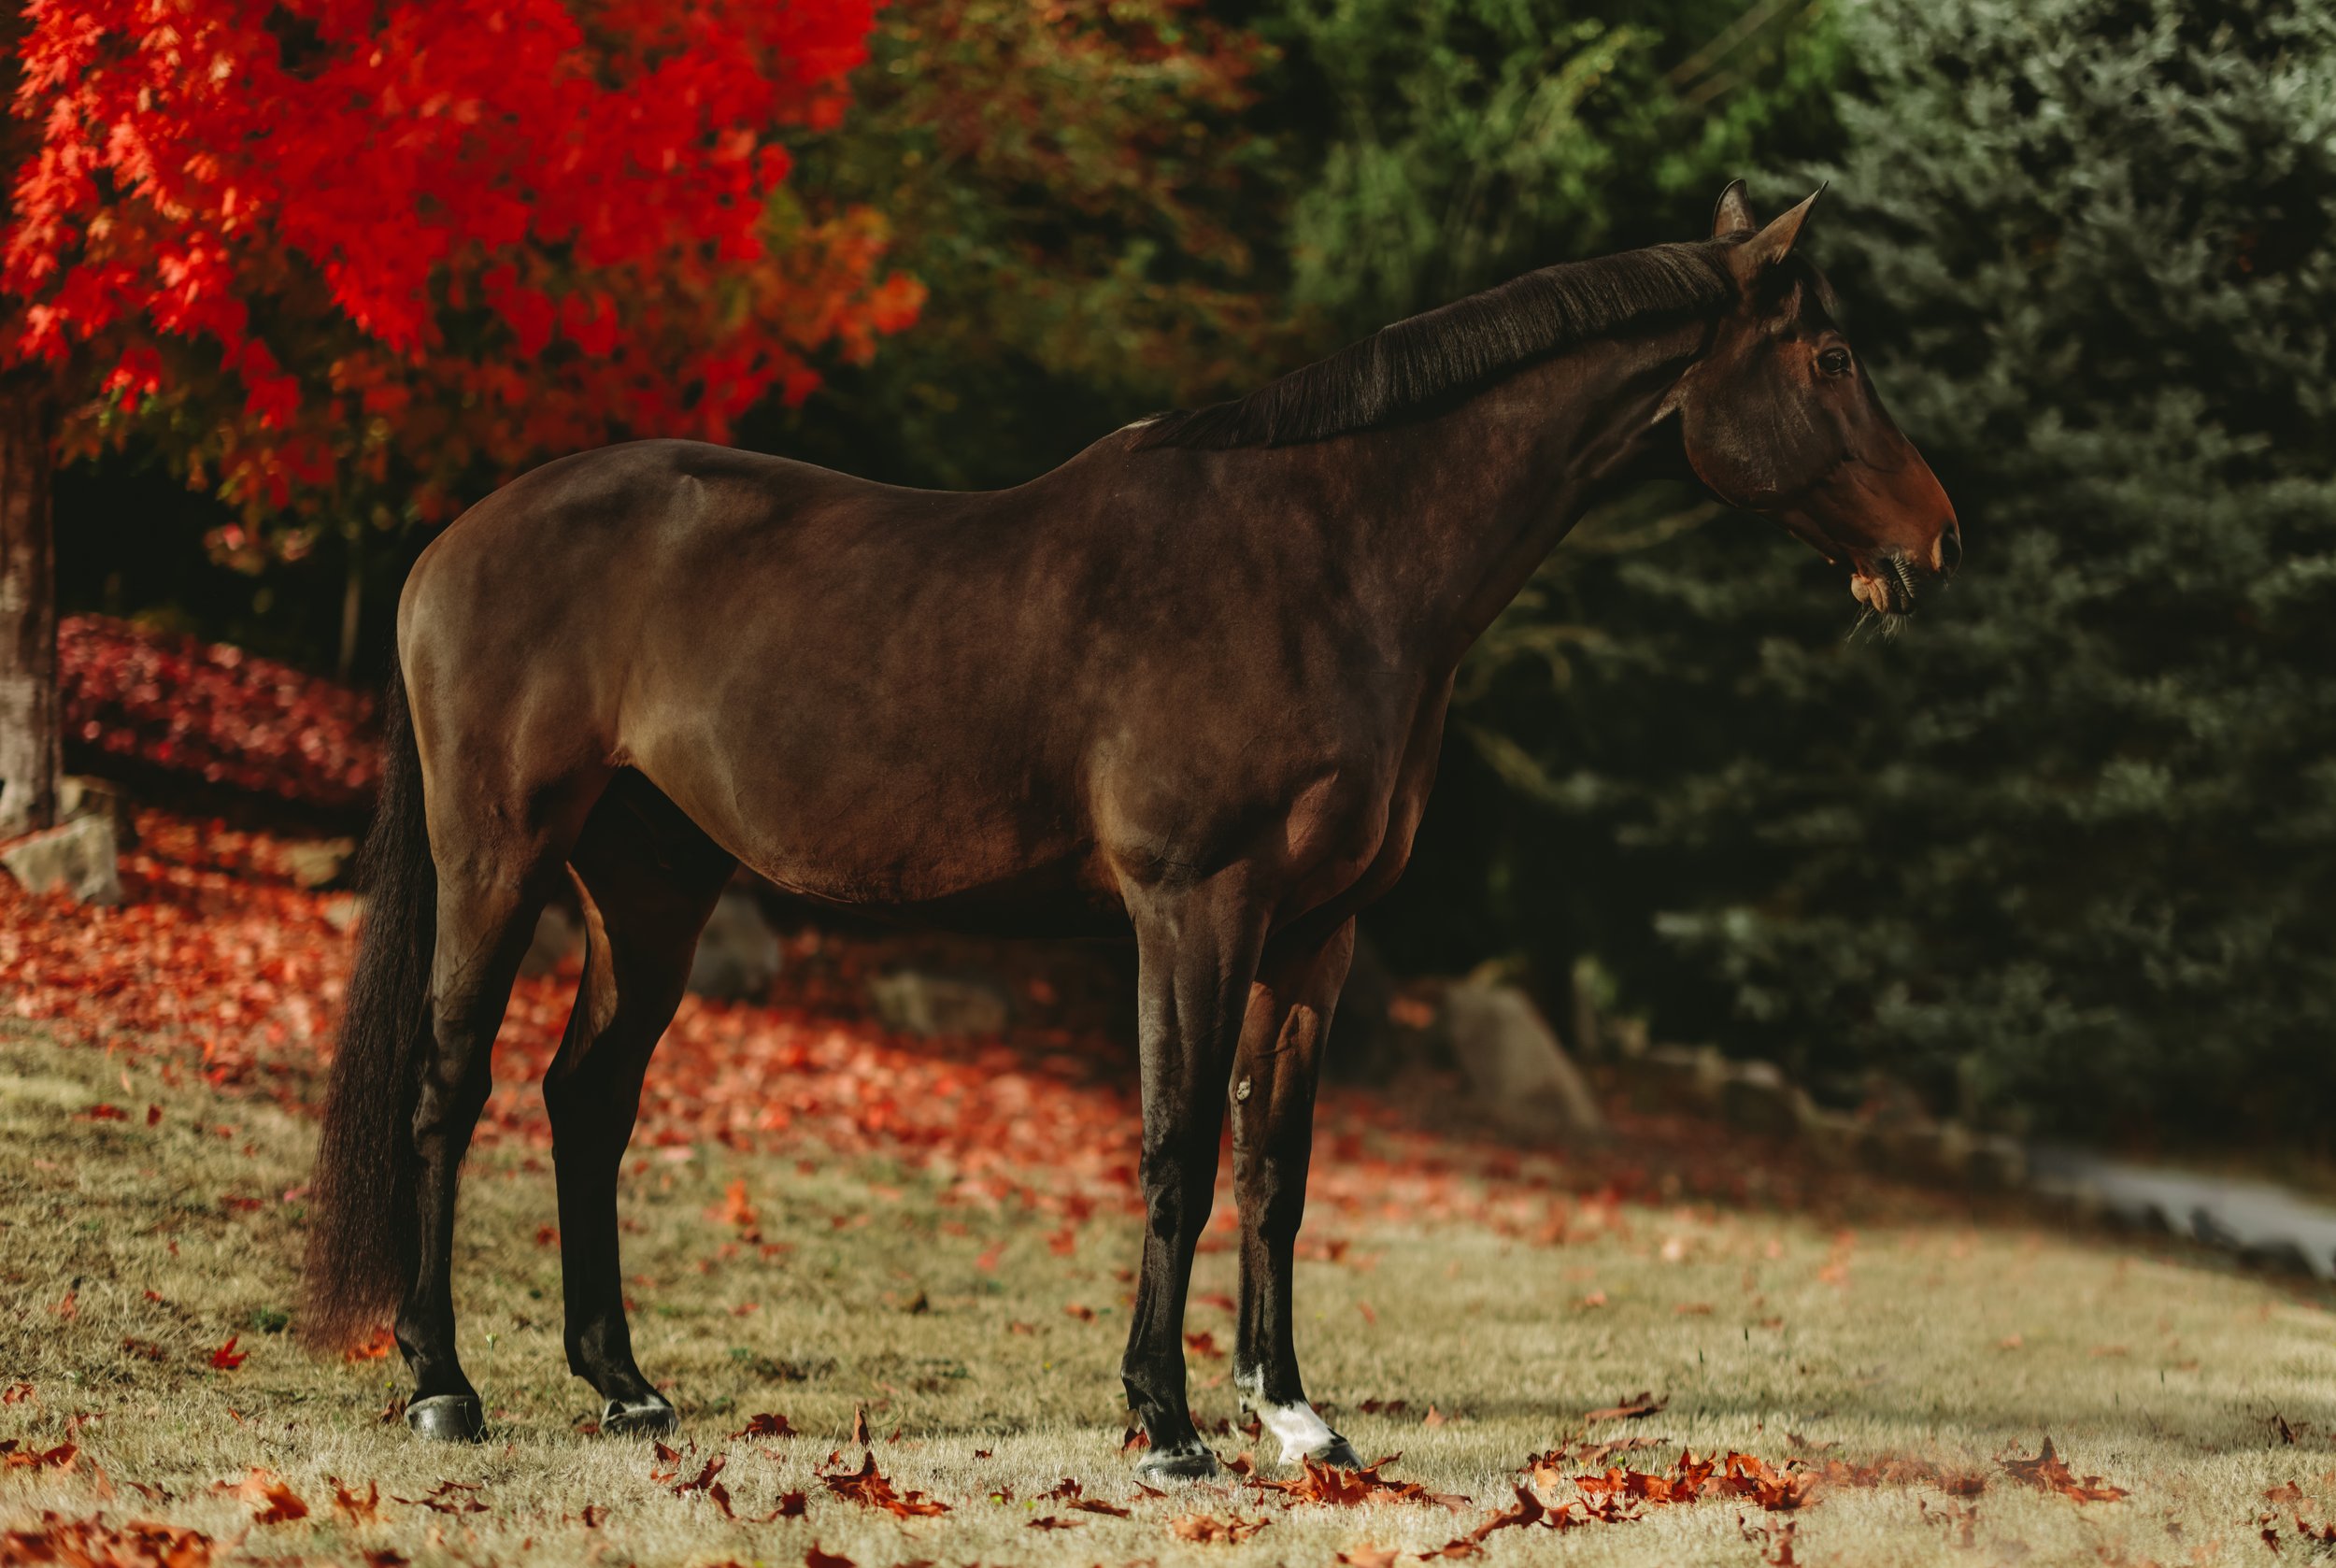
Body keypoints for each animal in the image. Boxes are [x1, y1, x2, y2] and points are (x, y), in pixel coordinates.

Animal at [300, 182, 1957, 1480]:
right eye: (1832, 356)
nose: (1932, 539)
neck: (1330, 561)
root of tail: (452, 543)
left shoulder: (1316, 931)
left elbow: (1278, 1165)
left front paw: (1295, 1414)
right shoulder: (1192, 904)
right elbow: (1176, 1148)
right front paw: (1164, 1420)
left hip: (648, 888)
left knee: (588, 1098)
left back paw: (625, 1387)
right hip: (499, 855)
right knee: (451, 1088)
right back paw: (445, 1388)